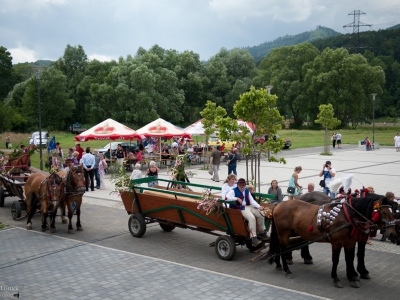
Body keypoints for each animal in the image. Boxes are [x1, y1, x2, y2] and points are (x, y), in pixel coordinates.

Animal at [266, 195, 396, 288]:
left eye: (394, 212)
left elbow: (350, 258)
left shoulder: (350, 242)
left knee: (278, 247)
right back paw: (287, 270)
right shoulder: (337, 242)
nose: (392, 233)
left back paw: (278, 265)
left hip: (288, 232)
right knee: (282, 249)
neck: (348, 215)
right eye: (384, 212)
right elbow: (336, 260)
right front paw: (336, 278)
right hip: (284, 232)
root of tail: (278, 205)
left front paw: (352, 277)